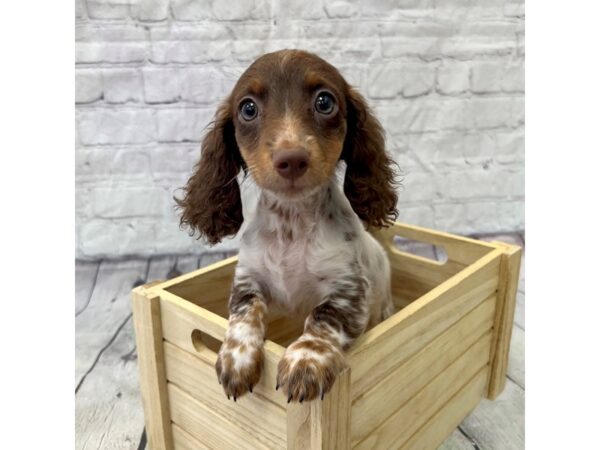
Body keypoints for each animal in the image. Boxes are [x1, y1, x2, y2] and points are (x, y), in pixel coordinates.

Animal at [176, 50, 398, 404]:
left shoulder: (349, 292)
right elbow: (243, 313)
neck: (291, 223)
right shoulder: (248, 279)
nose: (291, 159)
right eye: (248, 108)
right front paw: (236, 360)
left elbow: (323, 317)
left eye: (324, 102)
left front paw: (305, 361)